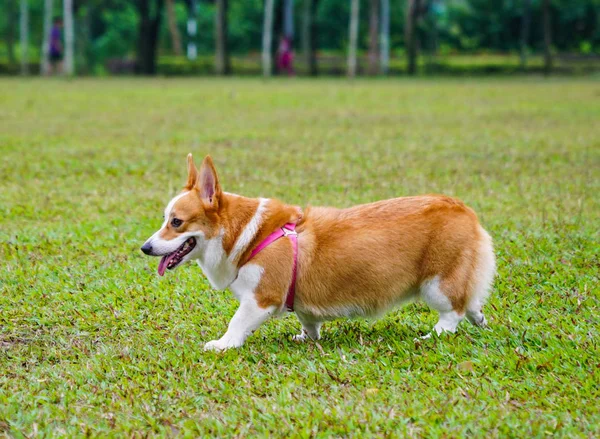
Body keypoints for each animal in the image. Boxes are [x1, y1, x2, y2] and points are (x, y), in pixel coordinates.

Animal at [141, 155, 496, 350]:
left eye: (176, 222)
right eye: (164, 219)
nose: (145, 247)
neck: (244, 234)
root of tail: (464, 209)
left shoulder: (260, 298)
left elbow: (237, 322)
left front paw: (222, 345)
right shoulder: (298, 300)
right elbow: (308, 321)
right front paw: (307, 337)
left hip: (437, 285)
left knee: (453, 313)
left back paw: (431, 336)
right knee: (472, 303)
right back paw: (480, 321)